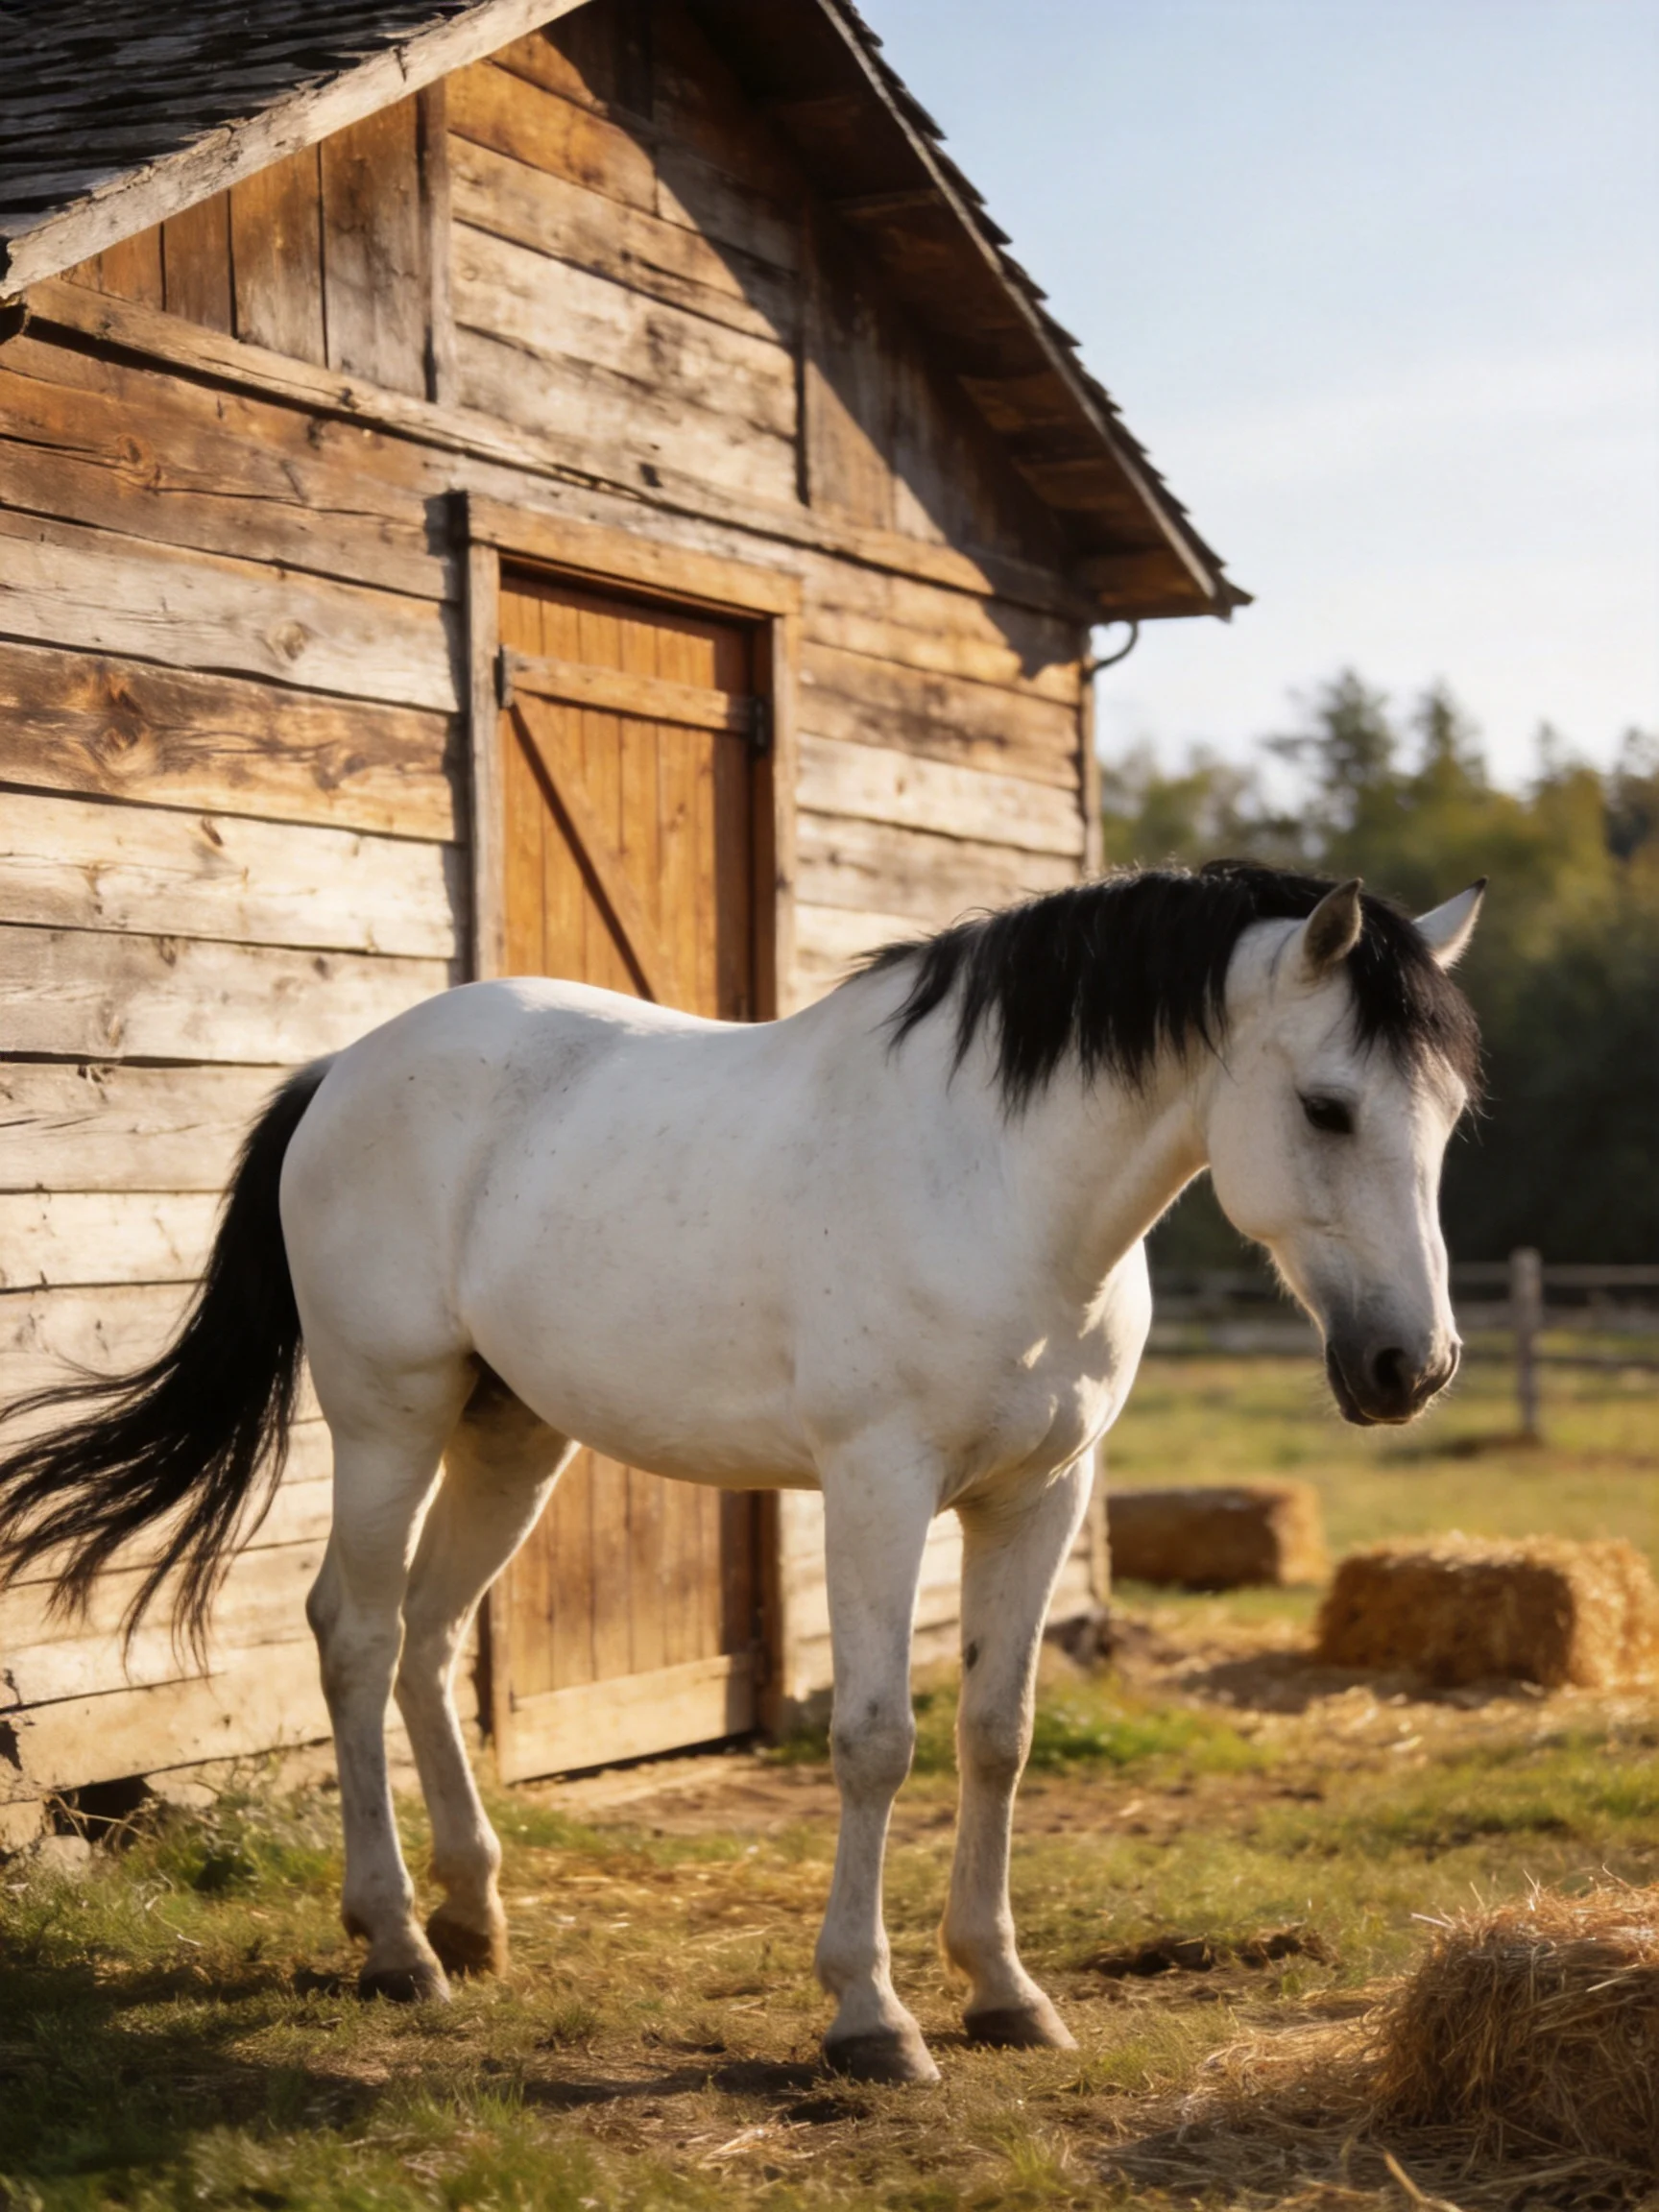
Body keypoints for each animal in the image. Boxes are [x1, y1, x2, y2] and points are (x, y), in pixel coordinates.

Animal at [0, 859, 1483, 2084]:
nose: (1411, 1366)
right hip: (387, 1417)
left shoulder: (1039, 1495)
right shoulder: (880, 1486)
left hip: (511, 1434)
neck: (998, 1185)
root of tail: (345, 1069)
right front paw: (871, 2019)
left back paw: (473, 1916)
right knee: (355, 1636)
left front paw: (1005, 1992)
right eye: (1327, 1108)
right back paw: (397, 1946)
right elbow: (877, 1741)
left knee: (429, 1635)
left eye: (1449, 1117)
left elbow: (996, 1735)